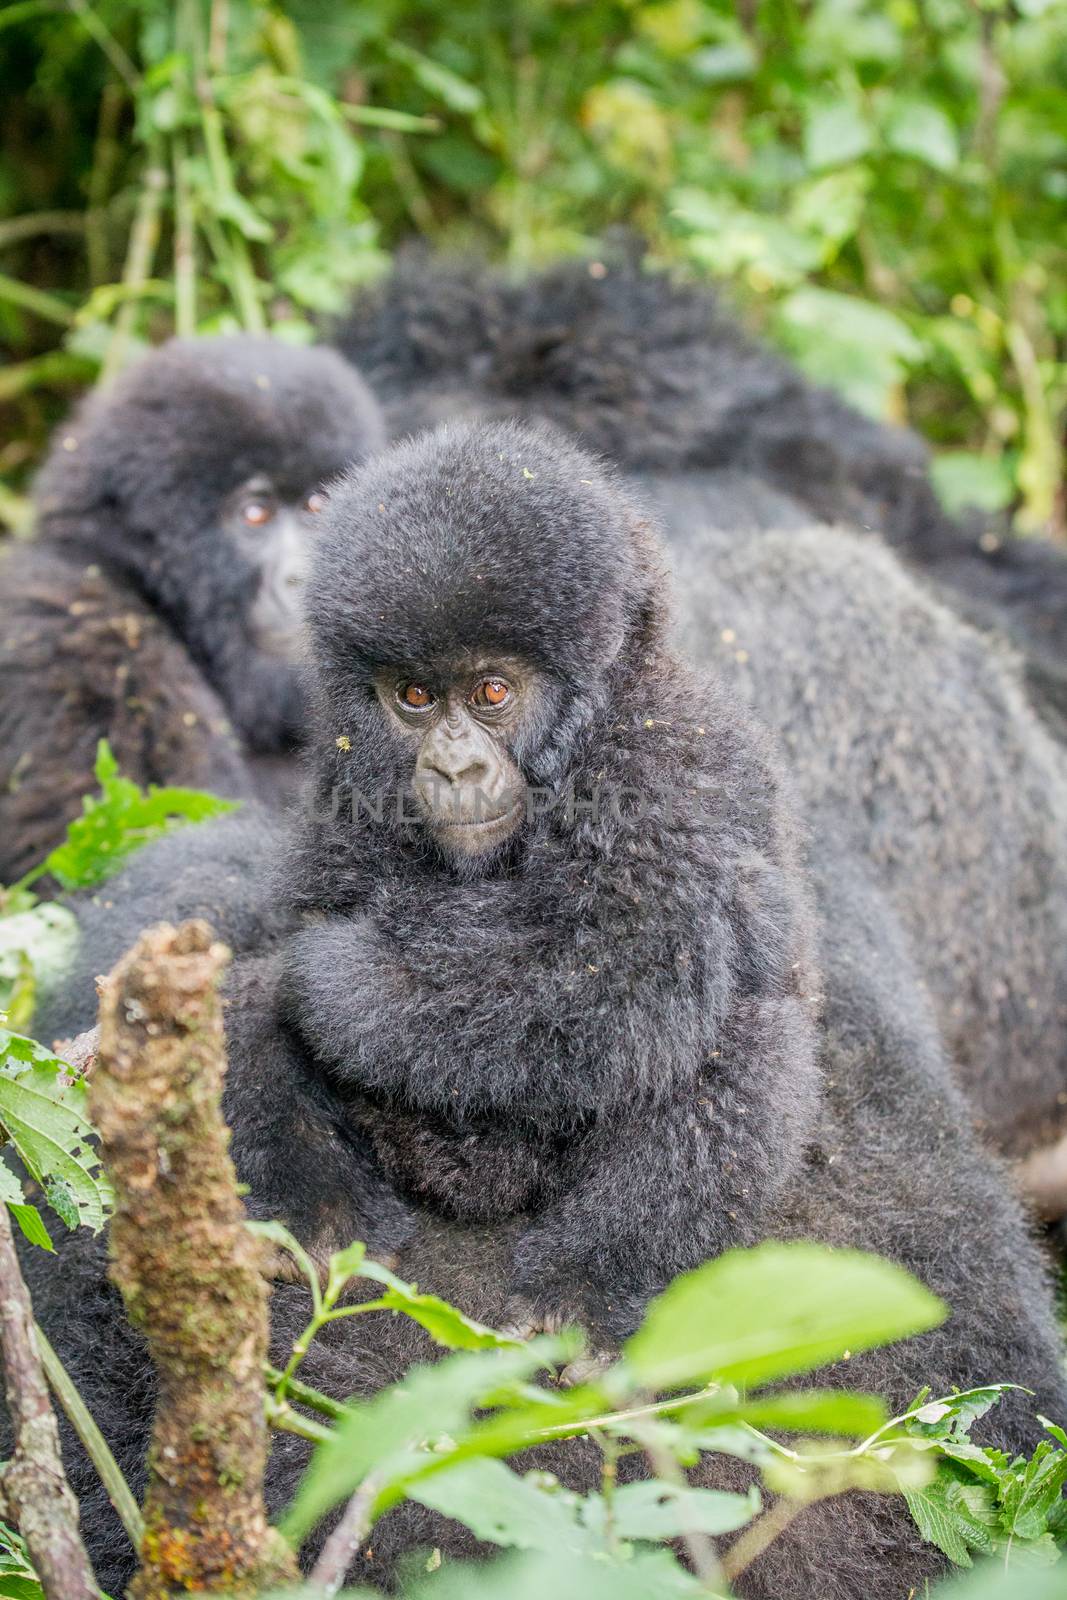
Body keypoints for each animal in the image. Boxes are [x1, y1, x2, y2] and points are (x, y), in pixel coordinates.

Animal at [235, 416, 819, 1337]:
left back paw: (582, 1286)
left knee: (737, 1034)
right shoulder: (345, 781)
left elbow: (615, 965)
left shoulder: (662, 764)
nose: (454, 767)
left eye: (491, 692)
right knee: (250, 995)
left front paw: (335, 977)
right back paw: (322, 1224)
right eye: (413, 696)